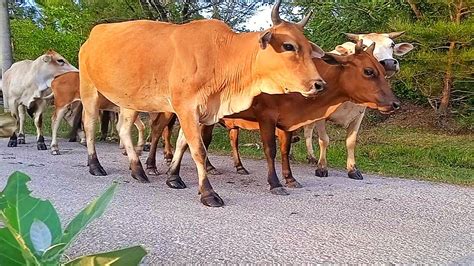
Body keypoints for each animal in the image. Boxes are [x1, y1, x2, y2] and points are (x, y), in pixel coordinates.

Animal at [78, 1, 326, 207]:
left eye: (307, 47)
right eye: (288, 46)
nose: (319, 84)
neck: (222, 56)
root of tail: (93, 36)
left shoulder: (201, 111)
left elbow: (182, 144)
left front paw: (173, 177)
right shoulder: (186, 107)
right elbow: (198, 149)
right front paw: (208, 193)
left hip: (129, 101)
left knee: (124, 129)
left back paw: (138, 170)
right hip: (89, 90)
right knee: (89, 126)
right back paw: (96, 166)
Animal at [162, 42, 400, 195]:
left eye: (381, 70)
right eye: (368, 71)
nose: (395, 103)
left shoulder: (287, 122)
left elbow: (285, 150)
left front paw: (291, 179)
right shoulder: (266, 117)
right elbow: (271, 150)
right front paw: (275, 183)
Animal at [304, 32, 412, 180]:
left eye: (392, 44)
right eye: (365, 45)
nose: (389, 63)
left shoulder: (358, 115)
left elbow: (351, 141)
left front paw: (352, 169)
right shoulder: (320, 115)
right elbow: (324, 140)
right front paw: (322, 167)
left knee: (307, 130)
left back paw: (311, 157)